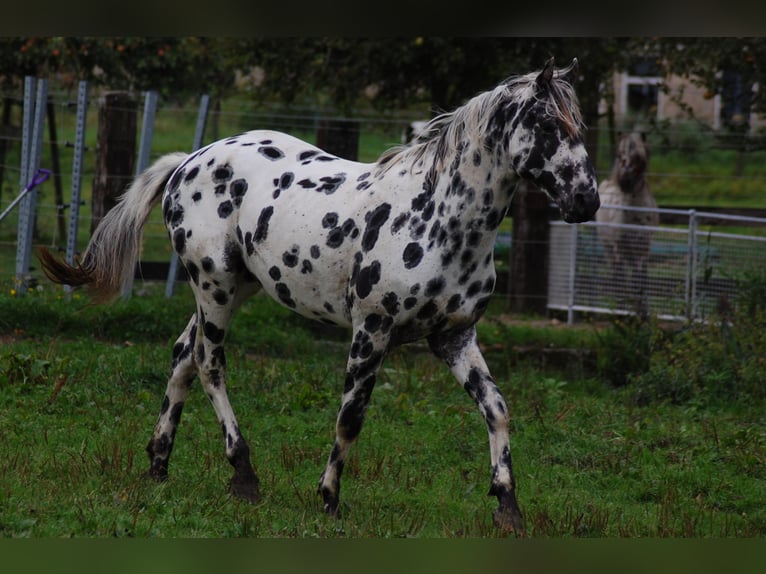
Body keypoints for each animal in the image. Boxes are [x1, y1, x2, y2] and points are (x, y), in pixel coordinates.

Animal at [39, 58, 604, 536]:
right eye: (547, 125)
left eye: (579, 126)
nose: (586, 200)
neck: (439, 216)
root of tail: (189, 161)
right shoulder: (371, 331)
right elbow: (351, 416)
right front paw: (329, 497)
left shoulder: (454, 337)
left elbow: (497, 408)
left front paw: (508, 506)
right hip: (214, 286)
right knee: (208, 363)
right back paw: (244, 475)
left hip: (233, 288)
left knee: (182, 355)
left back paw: (158, 464)